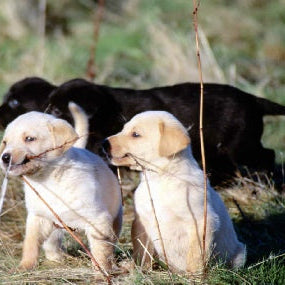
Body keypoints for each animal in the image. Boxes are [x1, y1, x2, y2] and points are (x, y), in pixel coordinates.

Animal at [47, 77, 284, 184]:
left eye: (58, 111)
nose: (43, 115)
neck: (109, 111)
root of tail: (253, 99)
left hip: (240, 145)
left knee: (267, 154)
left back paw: (266, 181)